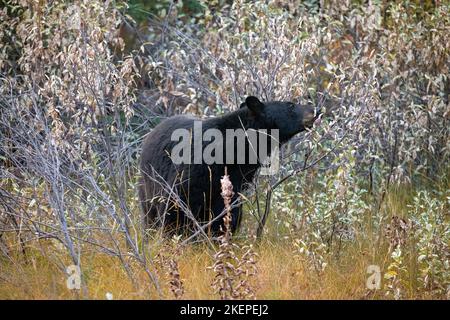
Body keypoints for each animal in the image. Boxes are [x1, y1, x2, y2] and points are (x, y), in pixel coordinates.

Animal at [139, 96, 318, 236]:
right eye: (291, 105)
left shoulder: (235, 181)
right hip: (148, 181)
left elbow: (228, 215)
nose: (314, 109)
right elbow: (175, 205)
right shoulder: (194, 170)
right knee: (149, 212)